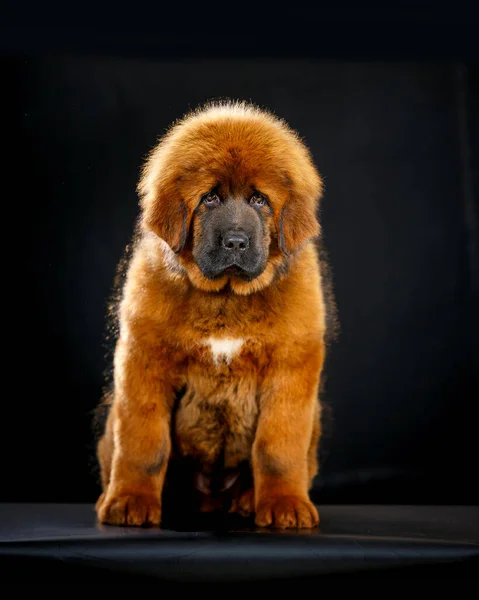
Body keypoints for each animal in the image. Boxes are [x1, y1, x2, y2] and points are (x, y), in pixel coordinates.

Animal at [94, 101, 334, 528]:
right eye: (210, 198)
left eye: (259, 200)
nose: (236, 242)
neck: (227, 298)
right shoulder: (144, 360)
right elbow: (144, 444)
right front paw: (130, 501)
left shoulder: (291, 366)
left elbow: (277, 448)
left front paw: (285, 504)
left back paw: (247, 500)